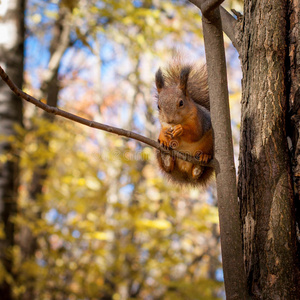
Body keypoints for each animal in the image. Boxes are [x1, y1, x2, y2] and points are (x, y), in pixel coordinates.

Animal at [155, 56, 213, 185]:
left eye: (181, 103)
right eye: (158, 106)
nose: (170, 120)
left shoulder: (200, 120)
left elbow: (195, 133)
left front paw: (180, 130)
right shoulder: (163, 123)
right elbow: (165, 132)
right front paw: (165, 135)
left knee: (197, 171)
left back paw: (201, 163)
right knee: (168, 168)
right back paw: (166, 156)